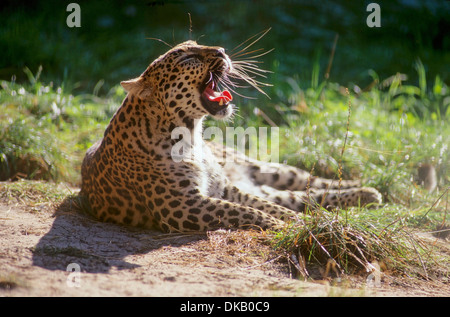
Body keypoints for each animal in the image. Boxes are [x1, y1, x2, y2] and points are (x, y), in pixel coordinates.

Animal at [79, 40, 382, 232]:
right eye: (188, 58)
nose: (223, 51)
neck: (192, 136)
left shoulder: (225, 188)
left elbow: (260, 206)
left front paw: (292, 221)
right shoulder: (183, 205)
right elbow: (243, 211)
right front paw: (283, 224)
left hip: (268, 169)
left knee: (309, 183)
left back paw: (368, 188)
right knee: (302, 196)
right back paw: (367, 194)